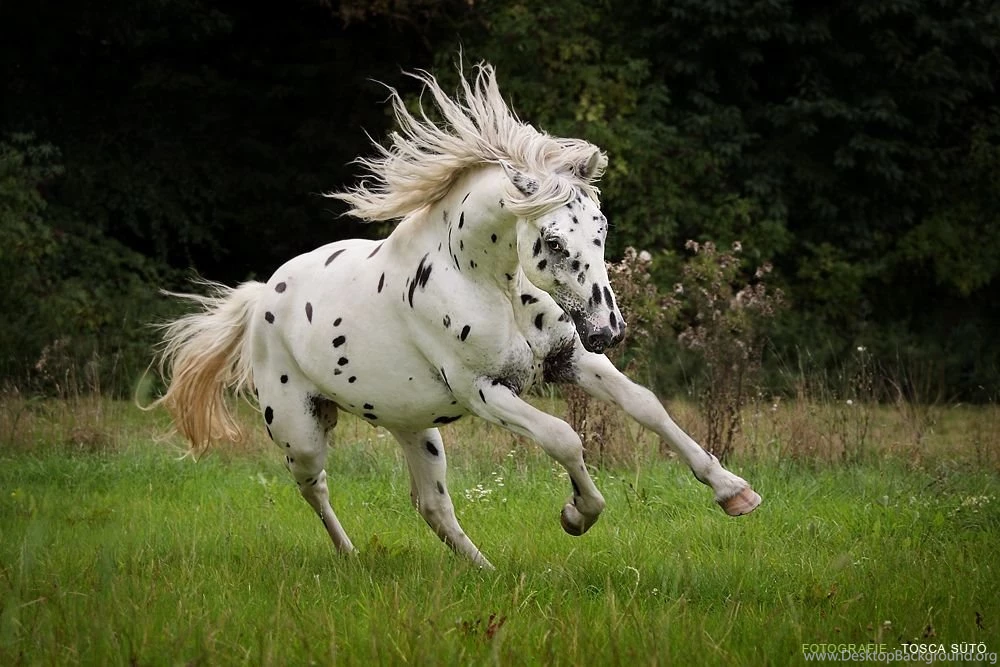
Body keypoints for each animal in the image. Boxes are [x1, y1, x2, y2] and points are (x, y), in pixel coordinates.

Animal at [150, 62, 756, 568]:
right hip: (298, 429)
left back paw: (482, 570)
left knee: (430, 505)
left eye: (601, 228)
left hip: (413, 427)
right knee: (313, 485)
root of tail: (262, 297)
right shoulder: (484, 391)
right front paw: (576, 515)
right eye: (554, 242)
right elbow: (564, 437)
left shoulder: (569, 359)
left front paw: (735, 492)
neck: (486, 282)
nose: (609, 330)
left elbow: (647, 406)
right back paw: (350, 556)